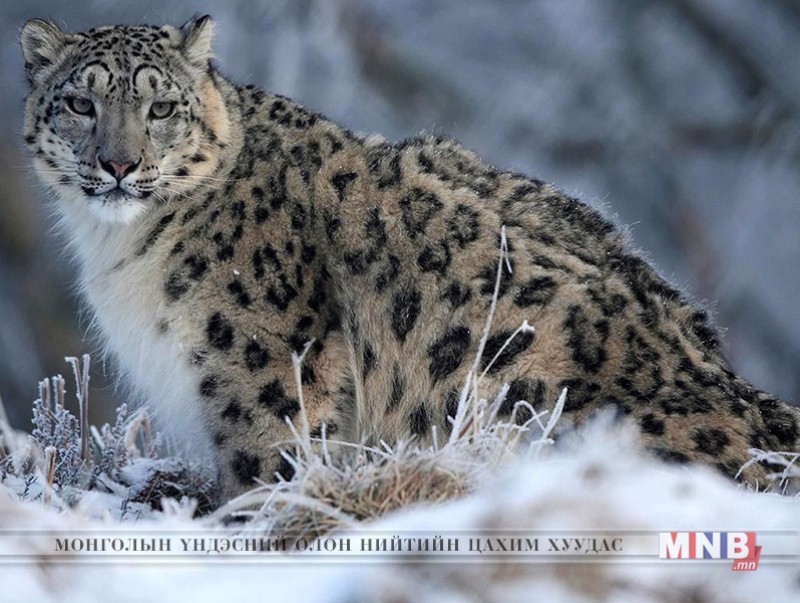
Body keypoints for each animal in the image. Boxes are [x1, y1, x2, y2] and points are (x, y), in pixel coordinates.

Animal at [21, 15, 800, 498]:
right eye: (81, 104)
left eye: (161, 108)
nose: (119, 164)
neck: (120, 249)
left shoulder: (262, 365)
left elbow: (267, 463)